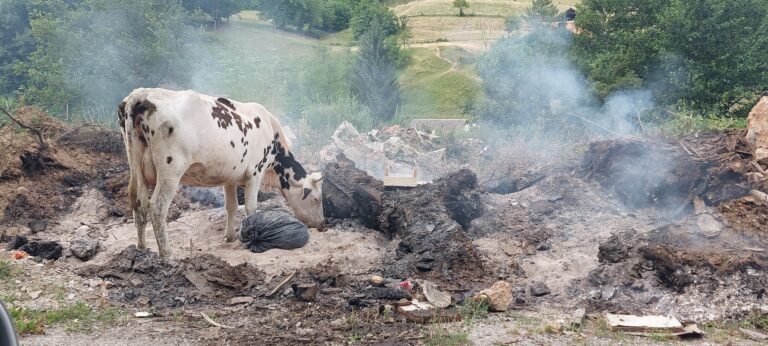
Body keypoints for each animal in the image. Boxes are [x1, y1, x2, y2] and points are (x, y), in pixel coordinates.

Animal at [117, 88, 324, 256]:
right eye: (316, 199)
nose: (322, 224)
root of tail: (140, 94)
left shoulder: (230, 177)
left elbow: (231, 206)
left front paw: (230, 237)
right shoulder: (255, 173)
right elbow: (251, 207)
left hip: (136, 166)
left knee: (139, 204)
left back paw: (142, 248)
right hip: (170, 170)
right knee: (157, 208)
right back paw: (167, 254)